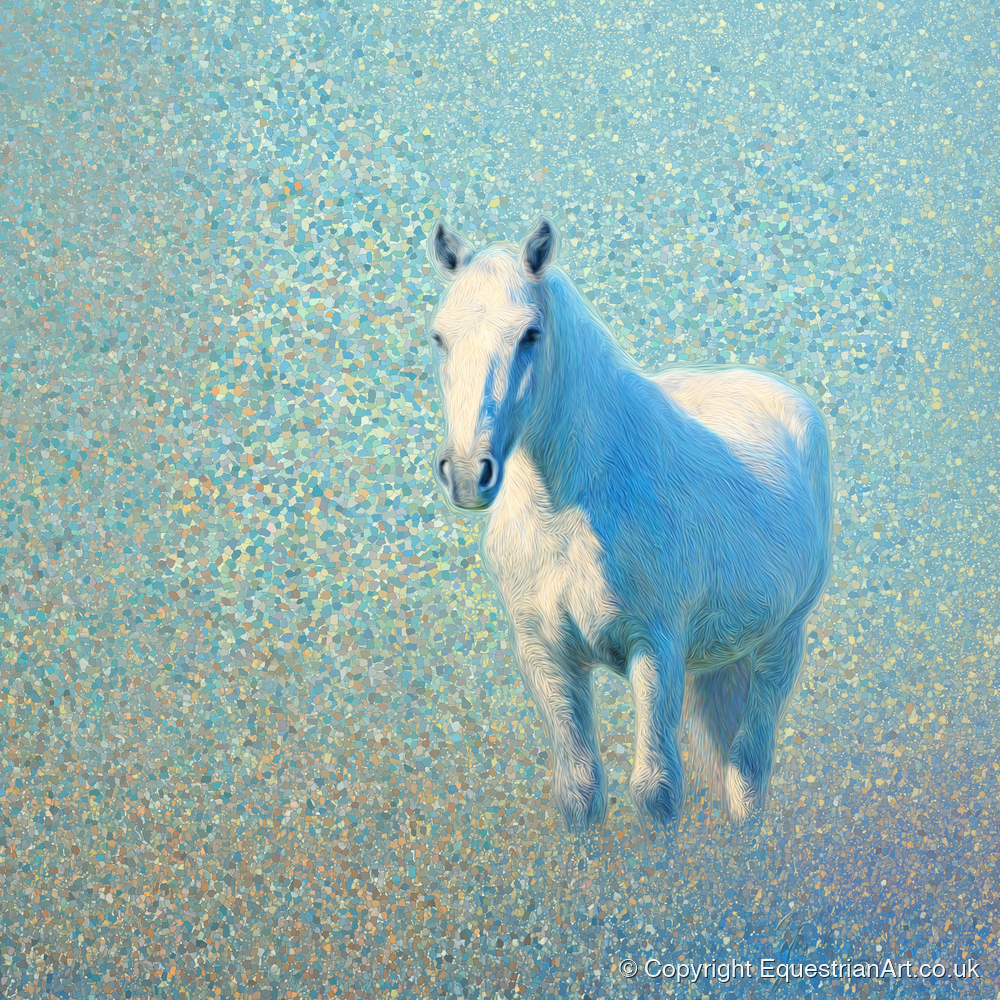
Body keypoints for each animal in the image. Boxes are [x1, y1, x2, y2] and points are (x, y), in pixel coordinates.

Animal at [425, 215, 832, 838]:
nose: (469, 474)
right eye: (440, 338)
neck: (568, 511)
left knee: (749, 770)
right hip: (719, 655)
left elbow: (655, 792)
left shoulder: (655, 649)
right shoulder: (546, 655)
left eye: (530, 334)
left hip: (780, 643)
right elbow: (579, 792)